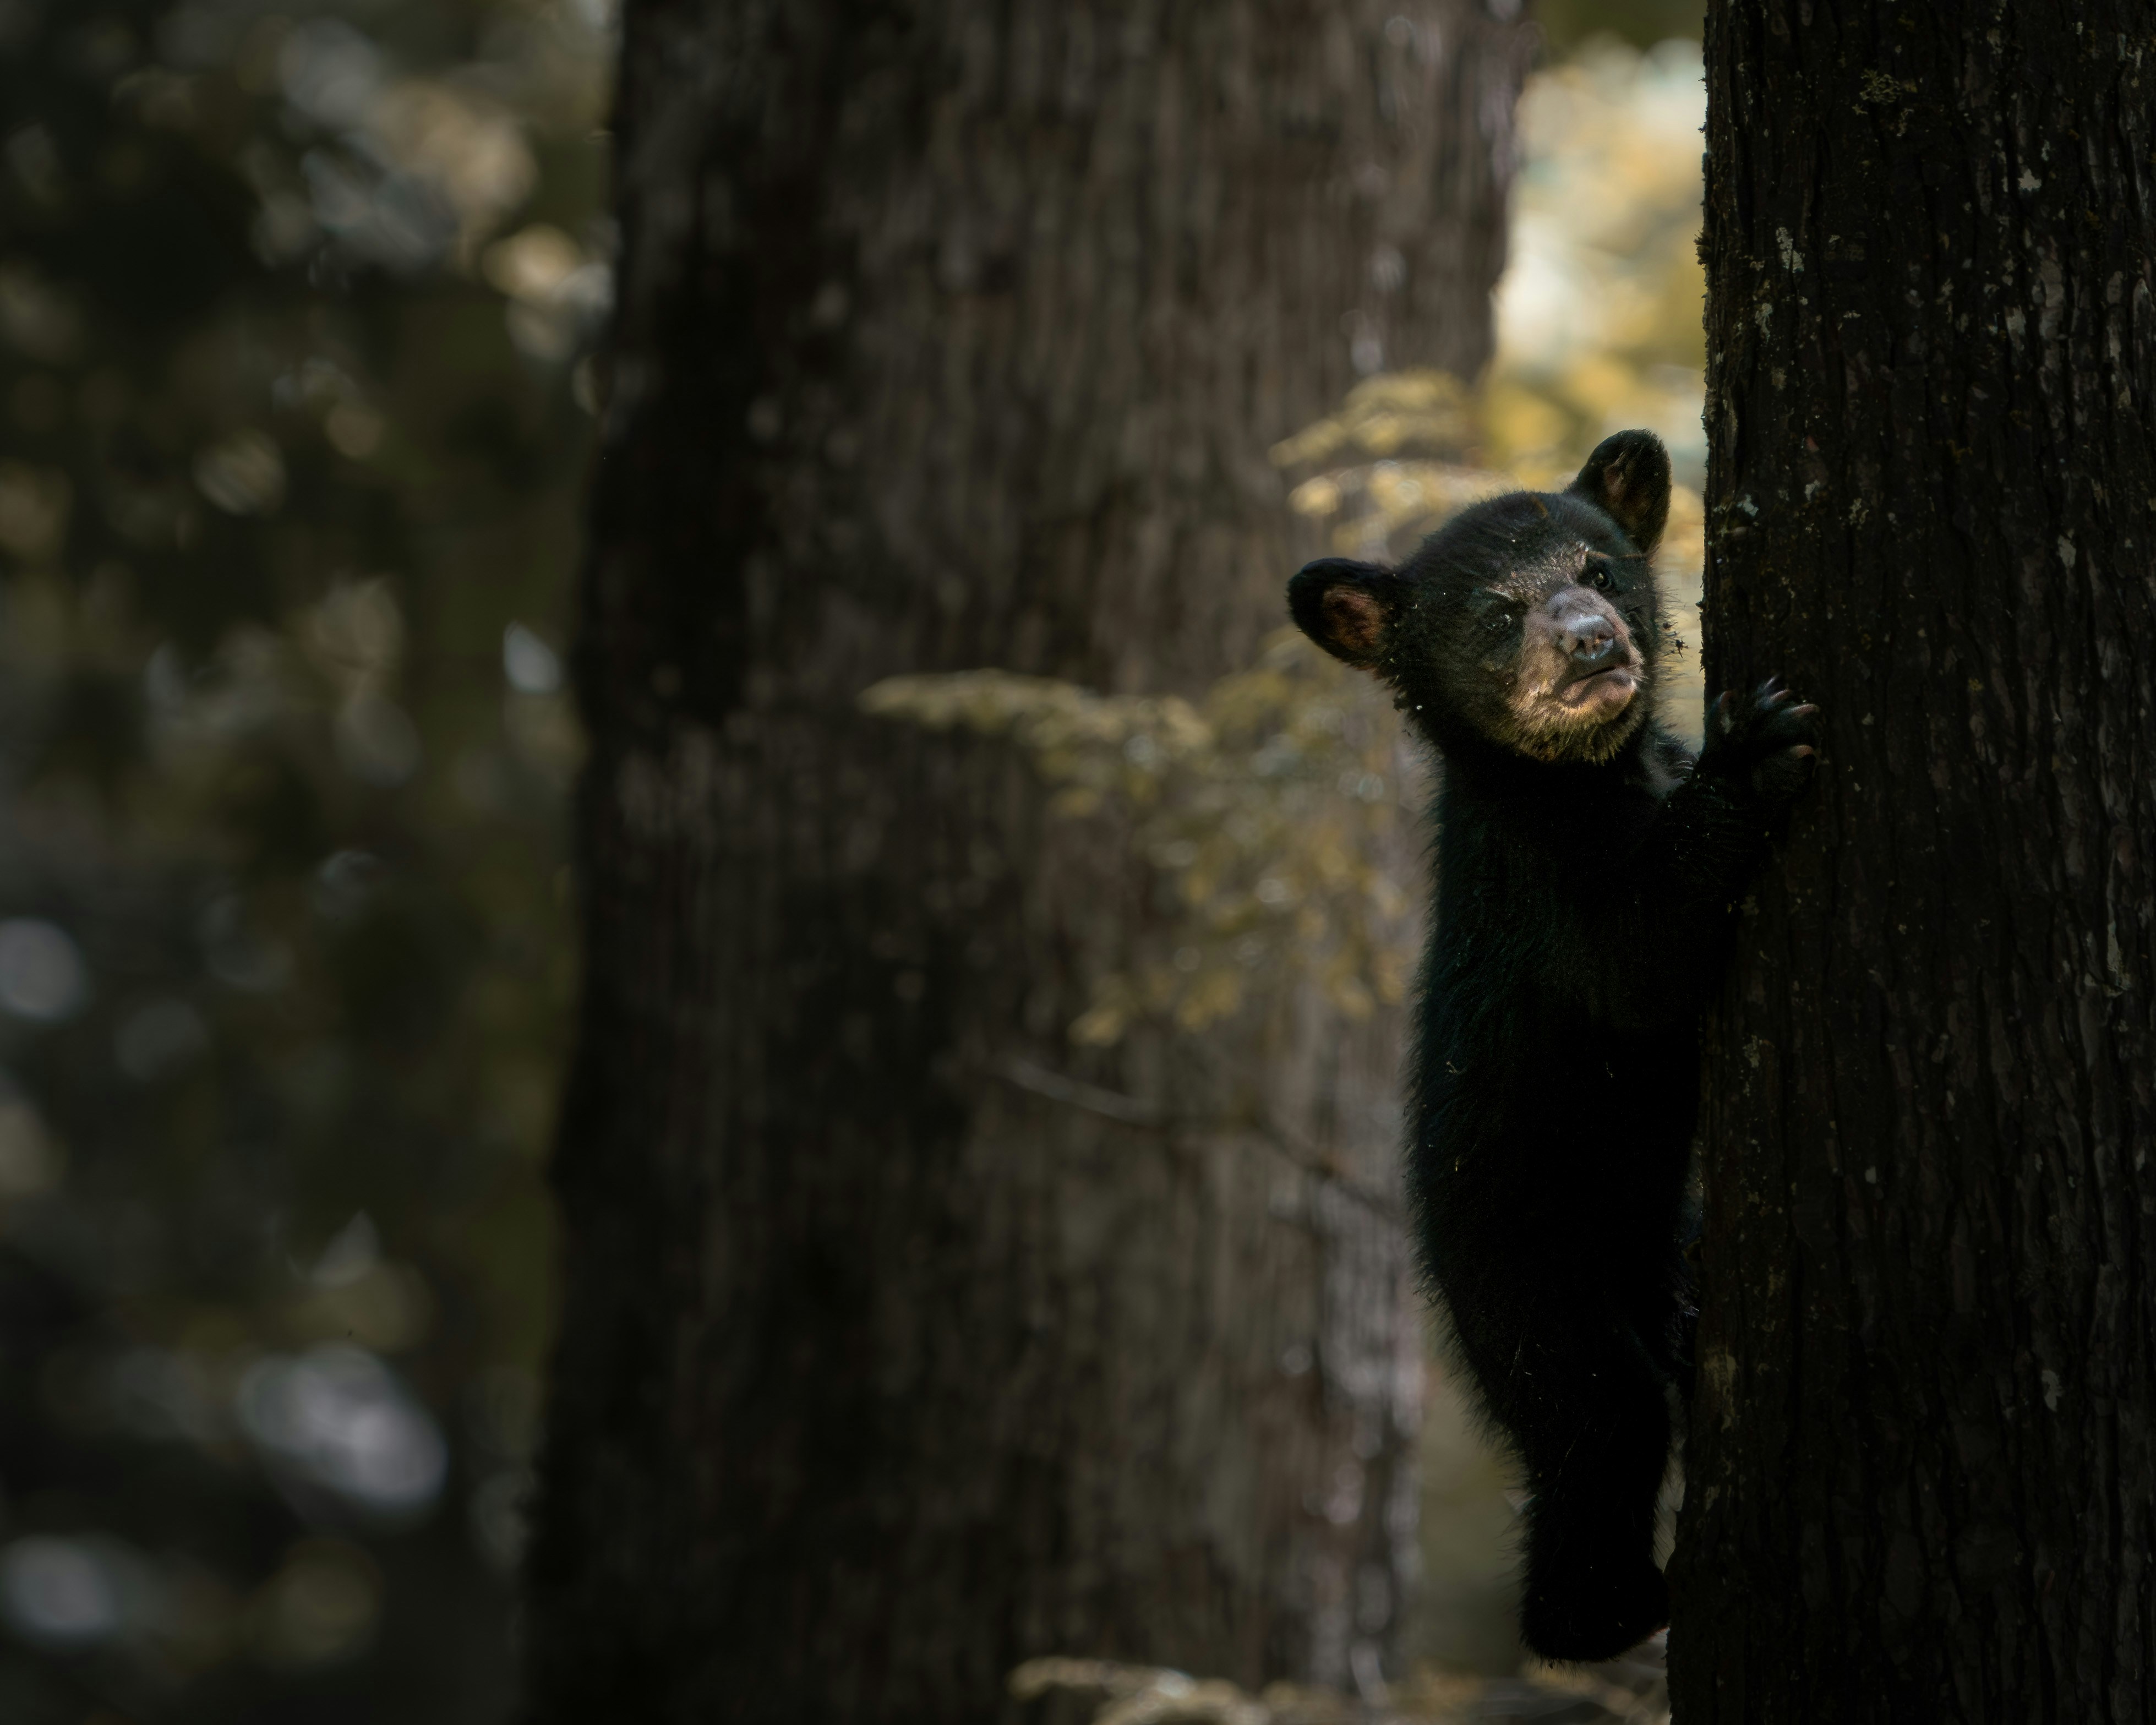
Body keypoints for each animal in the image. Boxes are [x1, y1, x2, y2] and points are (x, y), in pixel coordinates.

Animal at [1286, 429, 1817, 1662]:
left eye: (1601, 566)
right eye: (1495, 609)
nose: (1588, 641)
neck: (1581, 775)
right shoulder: (1536, 890)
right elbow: (1636, 958)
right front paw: (1751, 747)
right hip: (1526, 1273)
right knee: (1596, 1422)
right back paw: (1603, 1614)